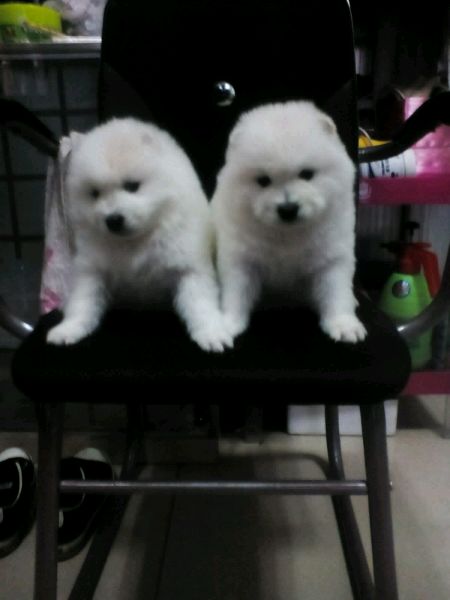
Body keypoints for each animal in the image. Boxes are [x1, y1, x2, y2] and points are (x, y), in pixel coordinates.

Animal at [46, 117, 233, 352]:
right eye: (95, 193)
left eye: (132, 186)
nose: (113, 220)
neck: (135, 240)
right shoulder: (92, 270)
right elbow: (83, 302)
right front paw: (68, 329)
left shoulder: (188, 268)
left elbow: (200, 304)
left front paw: (212, 333)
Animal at [211, 101, 367, 344]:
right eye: (263, 180)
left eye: (307, 174)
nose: (288, 209)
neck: (288, 234)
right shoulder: (241, 260)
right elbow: (236, 293)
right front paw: (228, 323)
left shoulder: (332, 258)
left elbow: (335, 292)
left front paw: (343, 324)